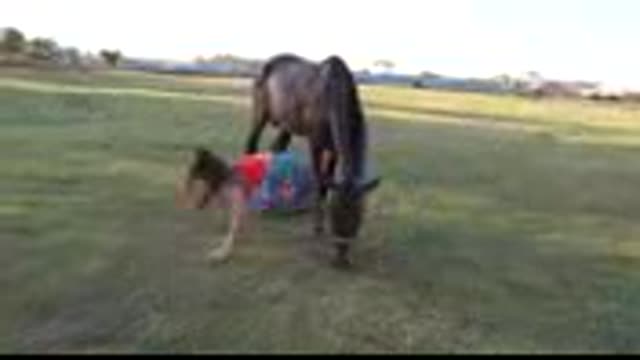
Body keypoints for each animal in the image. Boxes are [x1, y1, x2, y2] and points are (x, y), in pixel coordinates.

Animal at [245, 53, 380, 268]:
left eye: (358, 216)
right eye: (335, 214)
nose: (341, 259)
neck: (333, 92)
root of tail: (267, 64)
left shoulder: (333, 150)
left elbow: (327, 181)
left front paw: (318, 224)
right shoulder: (315, 143)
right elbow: (319, 180)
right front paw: (316, 227)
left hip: (286, 125)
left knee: (276, 149)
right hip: (260, 115)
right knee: (250, 145)